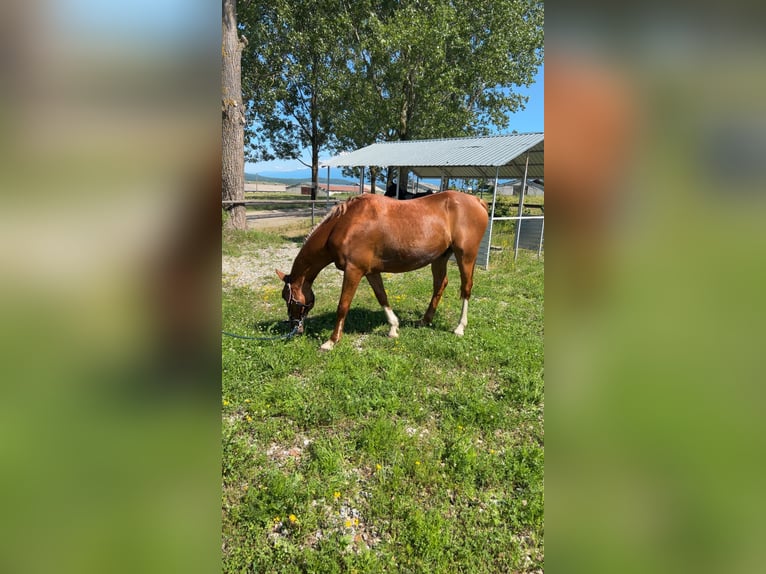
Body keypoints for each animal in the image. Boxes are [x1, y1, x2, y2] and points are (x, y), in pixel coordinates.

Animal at [280, 191, 488, 352]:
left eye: (288, 298)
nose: (294, 328)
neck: (344, 224)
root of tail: (477, 201)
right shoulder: (370, 271)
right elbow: (382, 297)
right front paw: (393, 328)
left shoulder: (354, 270)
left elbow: (343, 306)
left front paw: (331, 341)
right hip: (440, 257)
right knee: (440, 284)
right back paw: (425, 320)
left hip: (466, 256)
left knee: (466, 288)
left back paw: (460, 327)